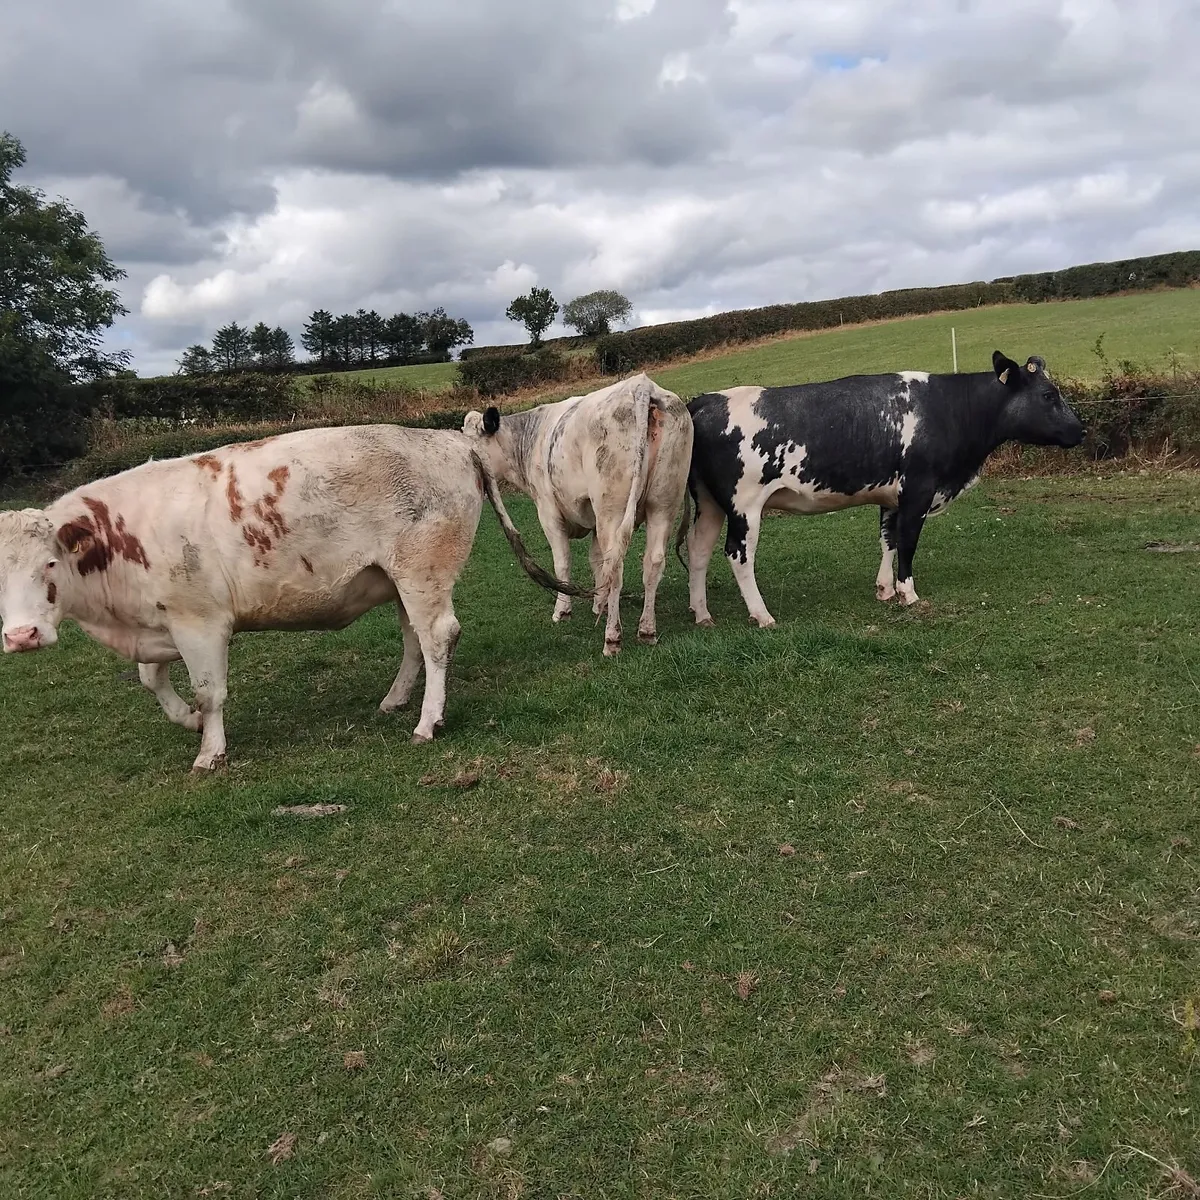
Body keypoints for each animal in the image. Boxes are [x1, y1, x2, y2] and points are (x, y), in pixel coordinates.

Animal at [0, 425, 589, 772]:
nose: (21, 635)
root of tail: (447, 439)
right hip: (403, 580)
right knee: (414, 641)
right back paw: (397, 698)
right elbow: (152, 681)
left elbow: (210, 692)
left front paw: (209, 749)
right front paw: (186, 720)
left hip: (424, 572)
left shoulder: (200, 622)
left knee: (438, 637)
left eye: (48, 564)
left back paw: (428, 721)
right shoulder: (158, 626)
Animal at [462, 373, 693, 656]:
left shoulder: (548, 513)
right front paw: (599, 603)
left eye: (469, 443)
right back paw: (647, 631)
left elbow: (562, 562)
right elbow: (595, 560)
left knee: (616, 565)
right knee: (653, 562)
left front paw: (562, 611)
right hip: (663, 504)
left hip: (612, 511)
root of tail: (641, 386)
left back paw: (612, 638)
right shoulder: (594, 521)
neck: (530, 437)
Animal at [681, 351, 1085, 628]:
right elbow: (907, 543)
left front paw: (885, 590)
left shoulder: (893, 497)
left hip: (710, 504)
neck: (948, 409)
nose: (1080, 430)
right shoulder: (920, 490)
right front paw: (909, 594)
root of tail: (705, 400)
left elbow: (887, 540)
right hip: (745, 506)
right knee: (738, 554)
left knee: (698, 550)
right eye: (1049, 395)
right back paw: (762, 615)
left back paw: (702, 614)